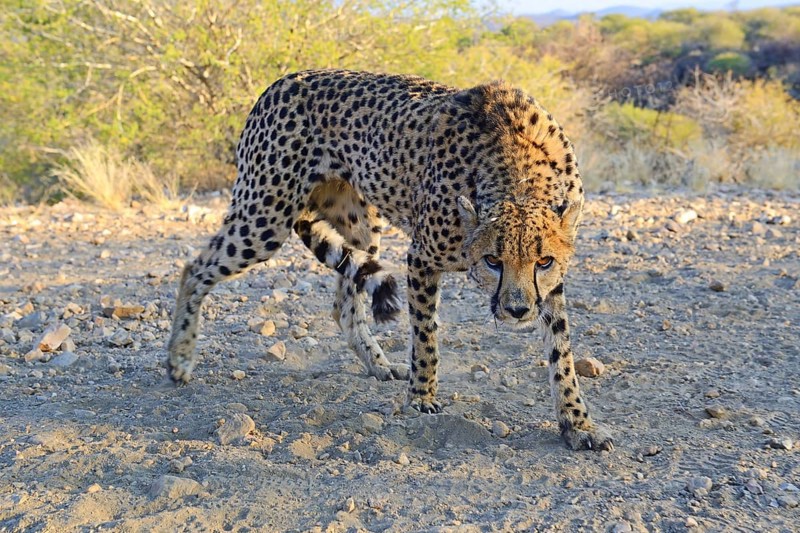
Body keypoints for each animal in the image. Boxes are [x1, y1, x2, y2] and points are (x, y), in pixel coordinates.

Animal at [167, 69, 613, 451]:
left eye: (543, 262)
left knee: (344, 304)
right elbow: (426, 336)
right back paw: (179, 359)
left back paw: (378, 364)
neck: (519, 177)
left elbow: (562, 352)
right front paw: (421, 397)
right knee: (195, 268)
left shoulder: (551, 283)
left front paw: (577, 423)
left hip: (358, 223)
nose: (517, 310)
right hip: (265, 215)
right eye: (492, 260)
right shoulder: (421, 258)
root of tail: (282, 80)